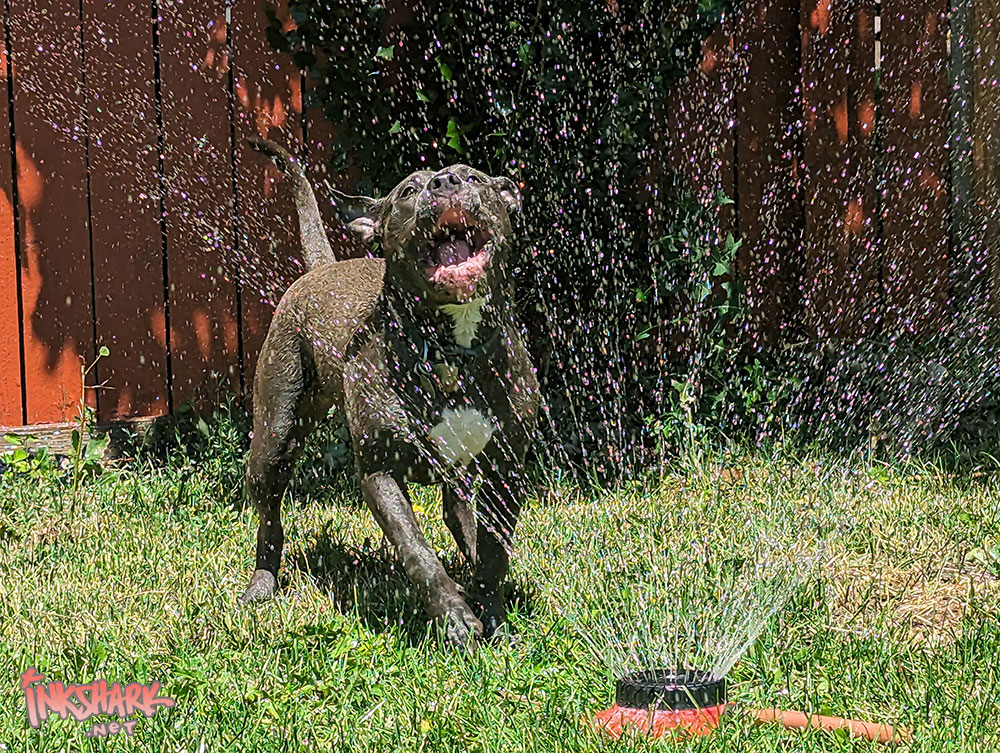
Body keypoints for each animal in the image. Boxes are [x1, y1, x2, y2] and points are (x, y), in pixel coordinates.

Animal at [242, 138, 540, 644]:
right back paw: (262, 582)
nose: (445, 183)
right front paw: (455, 617)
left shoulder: (506, 467)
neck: (450, 346)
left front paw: (494, 616)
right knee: (268, 518)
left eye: (473, 177)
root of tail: (324, 268)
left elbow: (495, 550)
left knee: (461, 516)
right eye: (407, 191)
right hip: (274, 436)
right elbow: (417, 551)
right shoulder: (380, 471)